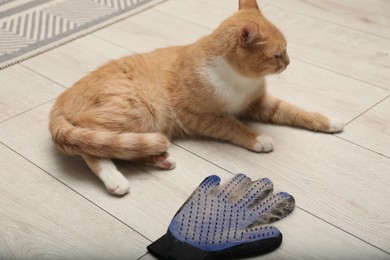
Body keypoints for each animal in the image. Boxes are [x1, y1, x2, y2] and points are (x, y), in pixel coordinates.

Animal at [49, 0, 344, 195]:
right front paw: (258, 138)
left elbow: (294, 111)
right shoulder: (196, 116)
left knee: (121, 146)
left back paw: (158, 158)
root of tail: (61, 100)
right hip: (138, 110)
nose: (289, 62)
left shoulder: (258, 103)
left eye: (286, 51)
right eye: (277, 55)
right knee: (92, 142)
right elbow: (231, 125)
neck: (240, 80)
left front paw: (328, 121)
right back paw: (114, 179)